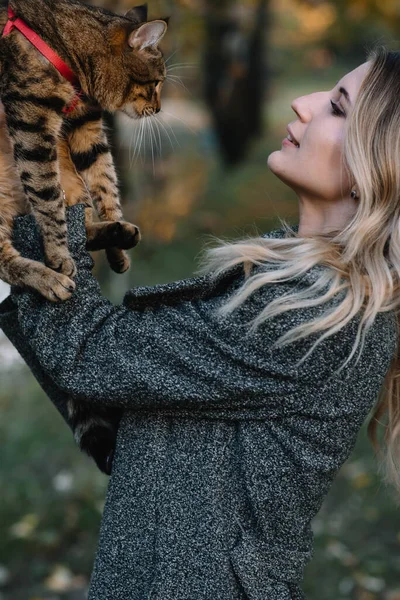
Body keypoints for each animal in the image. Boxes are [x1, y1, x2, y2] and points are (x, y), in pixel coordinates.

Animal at [0, 0, 169, 474]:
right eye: (157, 82)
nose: (158, 109)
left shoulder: (83, 123)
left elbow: (105, 179)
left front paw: (114, 237)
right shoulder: (31, 120)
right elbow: (45, 194)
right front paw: (58, 252)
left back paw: (115, 235)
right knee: (6, 255)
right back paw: (50, 275)